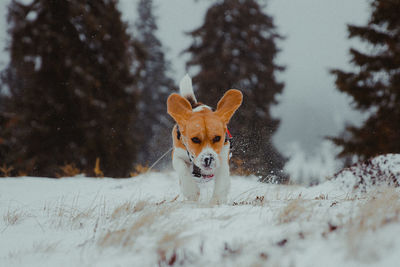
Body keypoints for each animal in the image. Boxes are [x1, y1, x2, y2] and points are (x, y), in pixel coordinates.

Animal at [167, 74, 242, 204]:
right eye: (195, 139)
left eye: (217, 138)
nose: (208, 159)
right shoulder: (177, 155)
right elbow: (182, 170)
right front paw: (191, 191)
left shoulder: (222, 158)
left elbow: (222, 180)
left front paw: (217, 201)